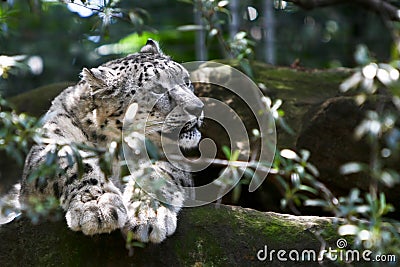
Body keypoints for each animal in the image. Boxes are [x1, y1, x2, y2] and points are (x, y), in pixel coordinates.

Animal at [15, 40, 205, 245]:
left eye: (186, 81)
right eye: (157, 89)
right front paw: (98, 207)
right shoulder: (48, 146)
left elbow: (157, 174)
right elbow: (72, 165)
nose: (198, 107)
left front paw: (146, 216)